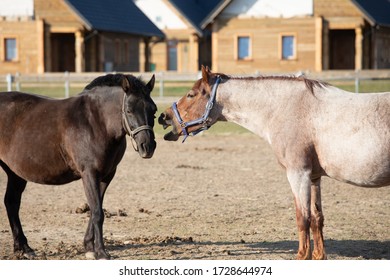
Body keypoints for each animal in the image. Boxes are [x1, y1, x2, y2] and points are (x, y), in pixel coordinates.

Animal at [1, 73, 157, 260]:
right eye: (129, 110)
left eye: (154, 110)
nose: (147, 147)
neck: (96, 122)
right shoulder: (89, 174)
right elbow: (97, 212)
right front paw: (101, 252)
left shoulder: (106, 176)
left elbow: (95, 209)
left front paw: (89, 247)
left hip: (15, 173)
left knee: (11, 202)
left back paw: (24, 248)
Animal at [158, 66, 390, 260]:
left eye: (191, 94)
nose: (164, 117)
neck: (289, 108)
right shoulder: (314, 177)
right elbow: (317, 219)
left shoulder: (299, 174)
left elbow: (303, 218)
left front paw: (302, 255)